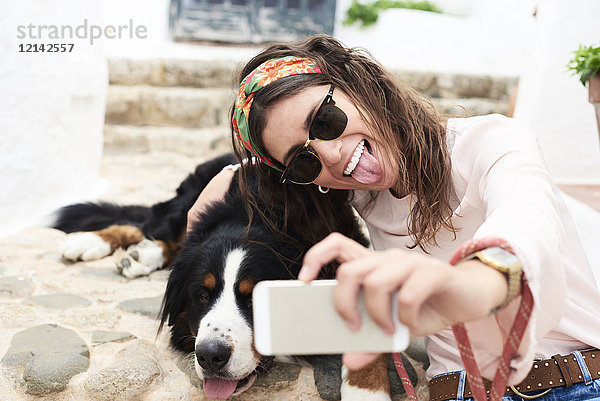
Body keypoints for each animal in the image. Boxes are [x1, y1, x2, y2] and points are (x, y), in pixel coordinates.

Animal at [52, 154, 398, 400]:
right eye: (202, 295)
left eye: (256, 298)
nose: (210, 356)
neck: (259, 218)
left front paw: (367, 392)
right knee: (152, 224)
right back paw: (93, 243)